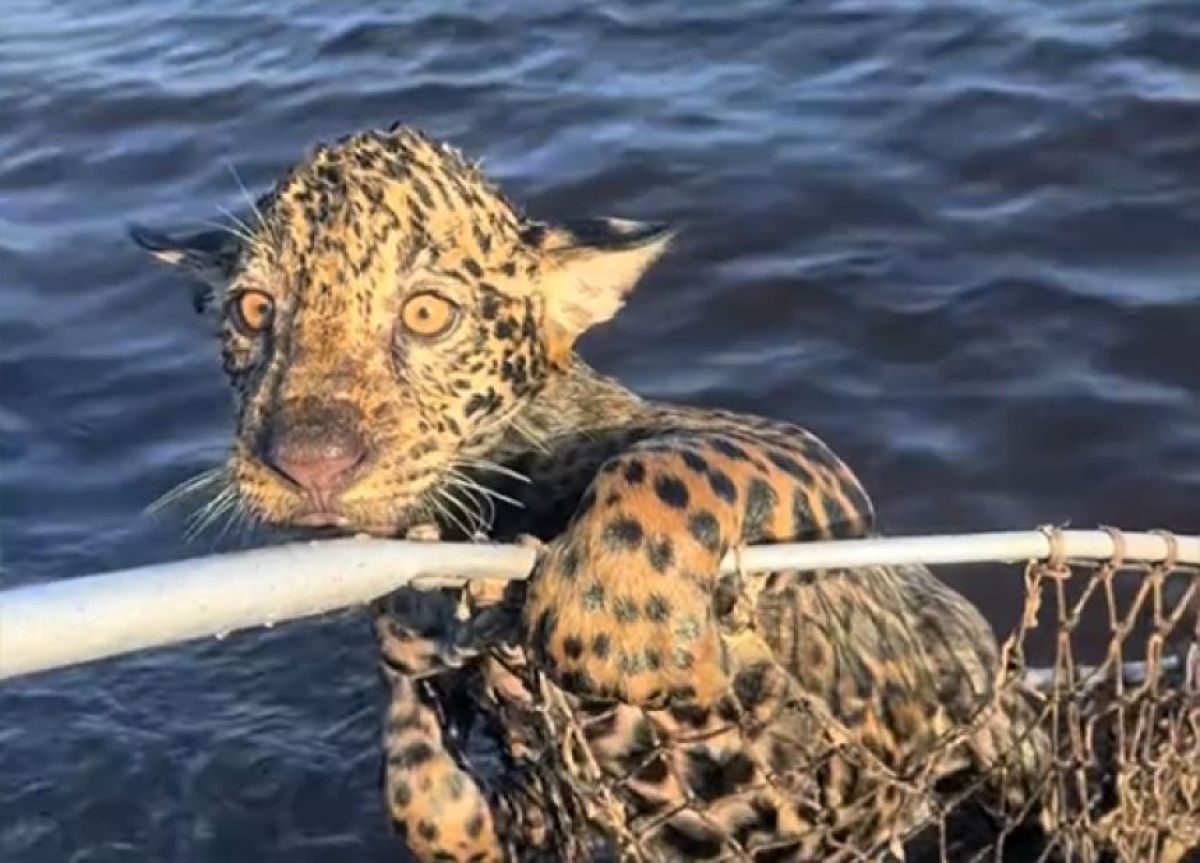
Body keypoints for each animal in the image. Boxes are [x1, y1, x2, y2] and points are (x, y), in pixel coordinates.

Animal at [133, 124, 1051, 861]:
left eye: (427, 314)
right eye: (254, 310)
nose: (309, 461)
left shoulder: (808, 468)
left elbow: (674, 461)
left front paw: (611, 613)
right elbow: (411, 763)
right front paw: (465, 822)